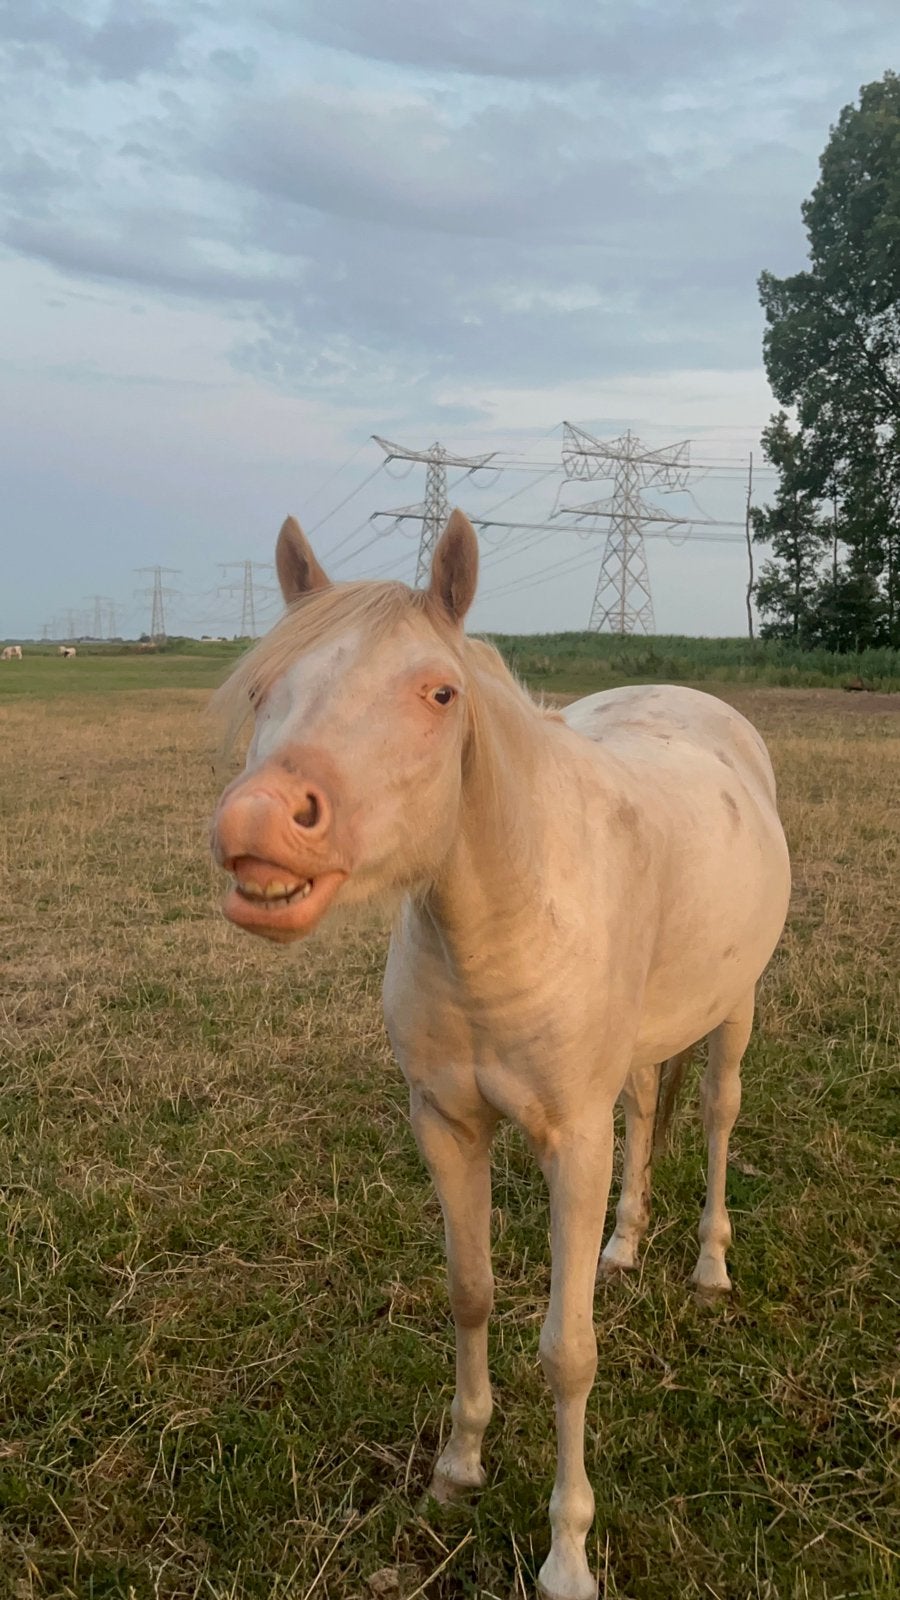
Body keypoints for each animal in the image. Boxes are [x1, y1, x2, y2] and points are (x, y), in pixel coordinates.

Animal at [211, 511, 791, 1600]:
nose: (256, 825)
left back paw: (706, 1264)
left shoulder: (572, 1142)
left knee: (717, 1116)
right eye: (265, 687)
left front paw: (567, 1554)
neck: (506, 914)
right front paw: (458, 1467)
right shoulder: (447, 1123)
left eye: (439, 693)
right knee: (645, 1108)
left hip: (734, 1010)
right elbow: (470, 1290)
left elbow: (568, 1352)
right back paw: (623, 1246)